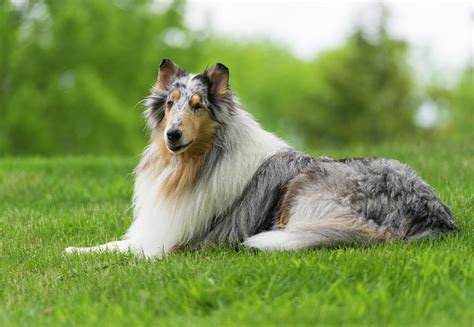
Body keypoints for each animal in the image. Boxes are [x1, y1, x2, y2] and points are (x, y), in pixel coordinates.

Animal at [65, 59, 458, 258]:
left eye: (197, 106)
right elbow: (116, 242)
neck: (195, 163)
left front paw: (77, 251)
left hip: (308, 188)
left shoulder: (169, 241)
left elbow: (121, 248)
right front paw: (76, 247)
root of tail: (434, 216)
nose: (172, 135)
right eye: (171, 104)